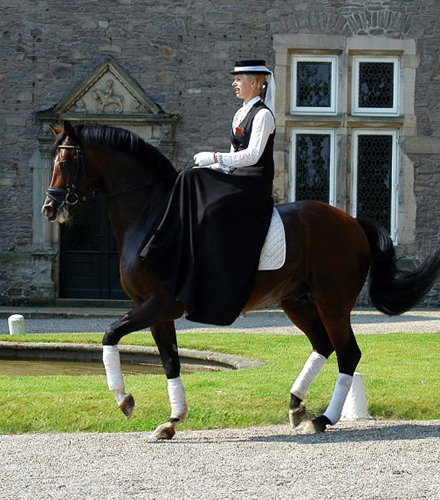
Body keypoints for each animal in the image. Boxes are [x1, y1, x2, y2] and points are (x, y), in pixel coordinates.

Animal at [43, 120, 440, 438]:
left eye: (64, 161)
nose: (50, 208)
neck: (152, 214)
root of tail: (352, 222)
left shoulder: (160, 304)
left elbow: (110, 333)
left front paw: (124, 399)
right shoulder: (154, 309)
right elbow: (169, 360)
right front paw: (172, 420)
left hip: (333, 301)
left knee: (348, 353)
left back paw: (323, 418)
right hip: (296, 301)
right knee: (324, 345)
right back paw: (297, 404)